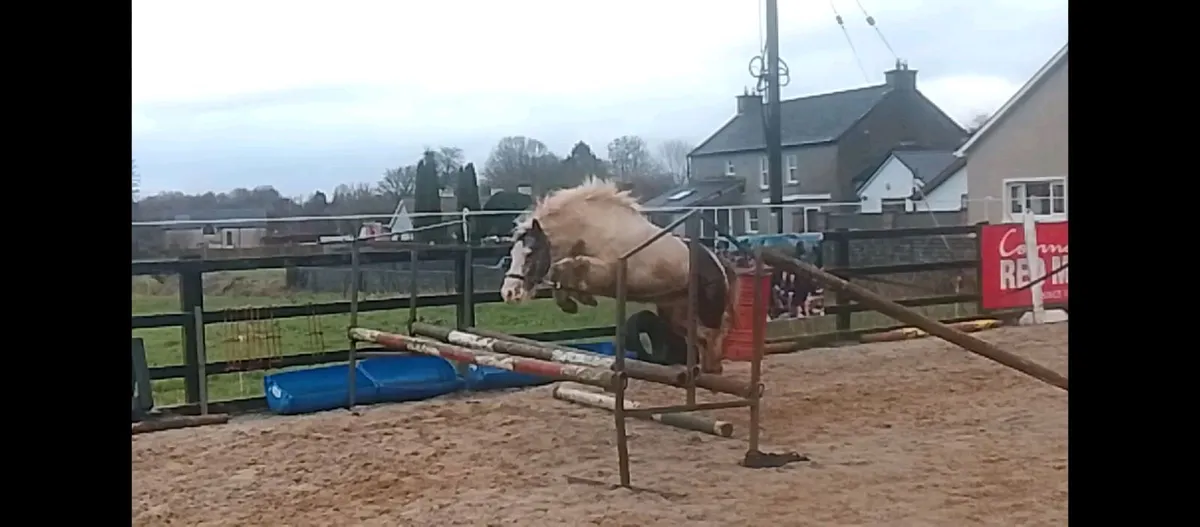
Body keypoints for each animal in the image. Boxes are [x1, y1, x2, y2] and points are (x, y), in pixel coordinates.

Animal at [499, 178, 739, 374]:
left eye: (530, 254)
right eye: (512, 254)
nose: (508, 293)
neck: (592, 228)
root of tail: (719, 263)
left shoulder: (609, 272)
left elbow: (568, 266)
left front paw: (579, 300)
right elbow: (564, 270)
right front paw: (572, 302)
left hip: (708, 308)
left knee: (714, 333)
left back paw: (713, 370)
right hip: (675, 313)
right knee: (700, 336)